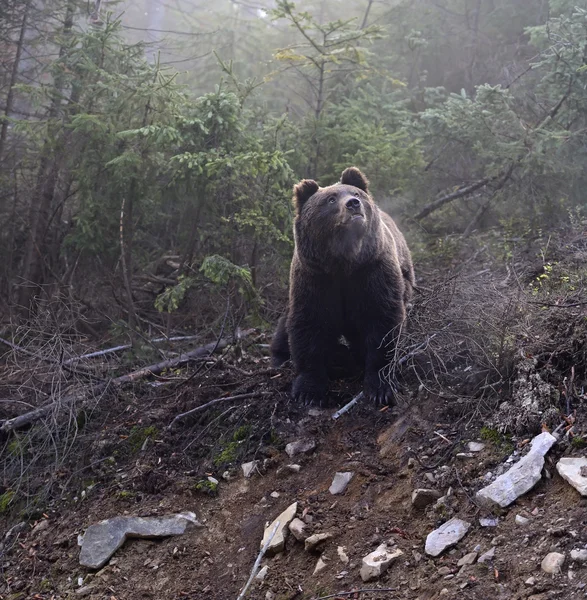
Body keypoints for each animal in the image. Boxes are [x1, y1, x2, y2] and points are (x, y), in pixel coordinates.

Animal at [272, 166, 414, 406]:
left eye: (355, 194)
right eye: (330, 199)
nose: (353, 204)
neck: (344, 263)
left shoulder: (372, 271)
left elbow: (382, 320)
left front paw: (380, 387)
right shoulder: (316, 278)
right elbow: (309, 324)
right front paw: (308, 390)